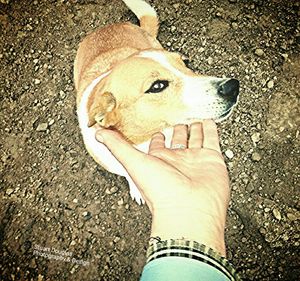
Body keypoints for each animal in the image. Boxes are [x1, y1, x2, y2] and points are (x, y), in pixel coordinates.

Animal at [73, 0, 239, 202]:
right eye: (157, 86)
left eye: (185, 64)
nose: (233, 87)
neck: (149, 137)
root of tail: (107, 27)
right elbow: (129, 175)